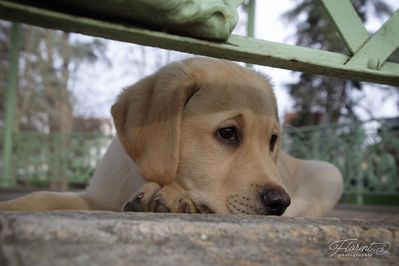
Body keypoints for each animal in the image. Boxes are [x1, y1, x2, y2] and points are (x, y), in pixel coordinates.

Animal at [0, 57, 344, 217]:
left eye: (272, 141)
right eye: (228, 133)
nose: (279, 202)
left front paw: (172, 197)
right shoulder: (97, 197)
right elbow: (41, 196)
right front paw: (11, 206)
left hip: (330, 173)